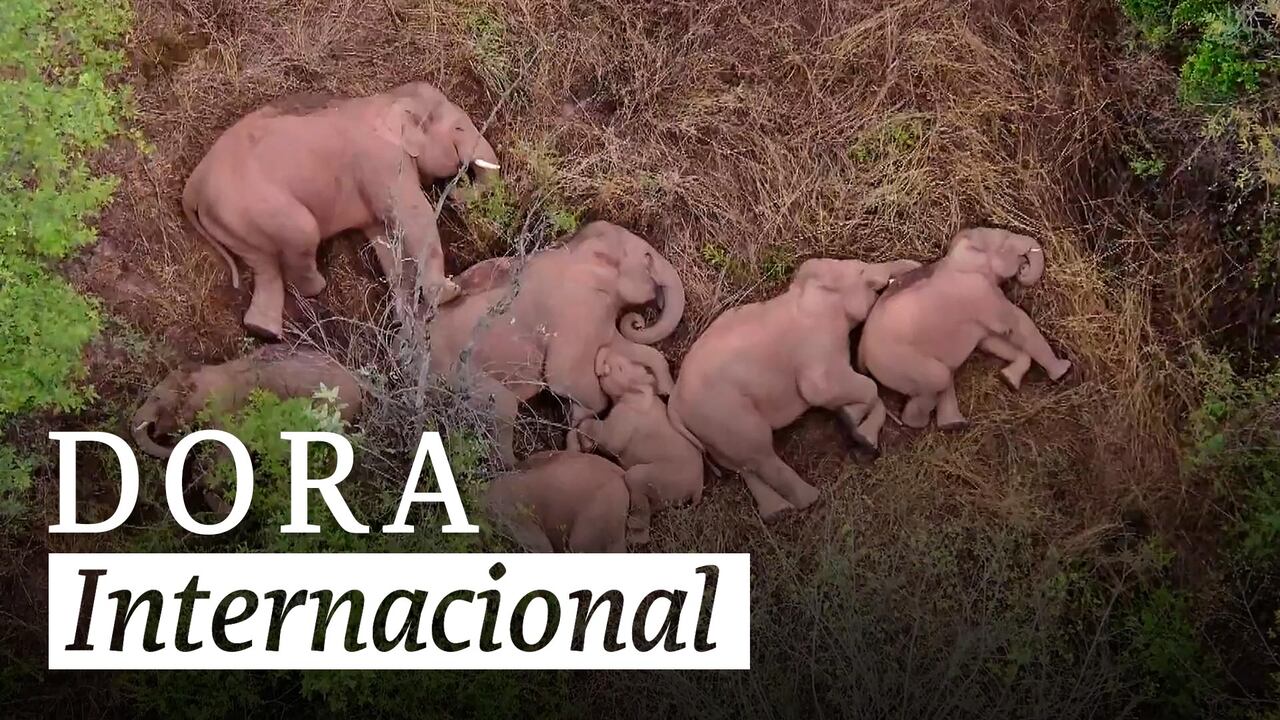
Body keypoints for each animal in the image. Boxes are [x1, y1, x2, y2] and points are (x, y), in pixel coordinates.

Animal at [183, 81, 501, 340]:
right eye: (458, 129)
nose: (455, 193)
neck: (389, 98)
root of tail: (193, 185)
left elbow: (385, 238)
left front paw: (405, 321)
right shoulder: (383, 162)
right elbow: (414, 216)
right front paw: (449, 293)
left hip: (233, 221)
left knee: (263, 265)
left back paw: (263, 332)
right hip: (255, 206)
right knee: (302, 235)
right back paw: (316, 288)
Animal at [426, 221, 685, 466]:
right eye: (648, 257)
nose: (639, 321)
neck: (573, 249)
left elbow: (619, 346)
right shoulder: (574, 309)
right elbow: (565, 377)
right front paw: (581, 429)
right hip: (456, 374)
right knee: (503, 407)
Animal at [566, 347, 704, 545]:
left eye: (621, 368)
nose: (603, 351)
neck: (640, 391)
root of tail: (698, 487)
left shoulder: (626, 415)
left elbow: (610, 440)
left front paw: (585, 441)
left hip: (666, 476)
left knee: (635, 480)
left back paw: (633, 537)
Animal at [668, 258, 920, 521]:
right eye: (860, 270)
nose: (915, 266)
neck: (807, 291)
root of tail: (674, 404)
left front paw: (857, 430)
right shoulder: (817, 345)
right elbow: (826, 389)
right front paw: (851, 422)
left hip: (710, 429)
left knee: (742, 463)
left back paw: (778, 511)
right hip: (724, 413)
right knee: (759, 452)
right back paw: (810, 499)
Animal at [857, 227, 1072, 429]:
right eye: (1004, 242)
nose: (1023, 268)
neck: (956, 256)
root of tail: (862, 354)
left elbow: (990, 342)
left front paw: (1008, 379)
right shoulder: (981, 292)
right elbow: (1018, 324)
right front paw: (1063, 370)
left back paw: (953, 424)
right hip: (898, 363)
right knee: (939, 378)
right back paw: (923, 423)